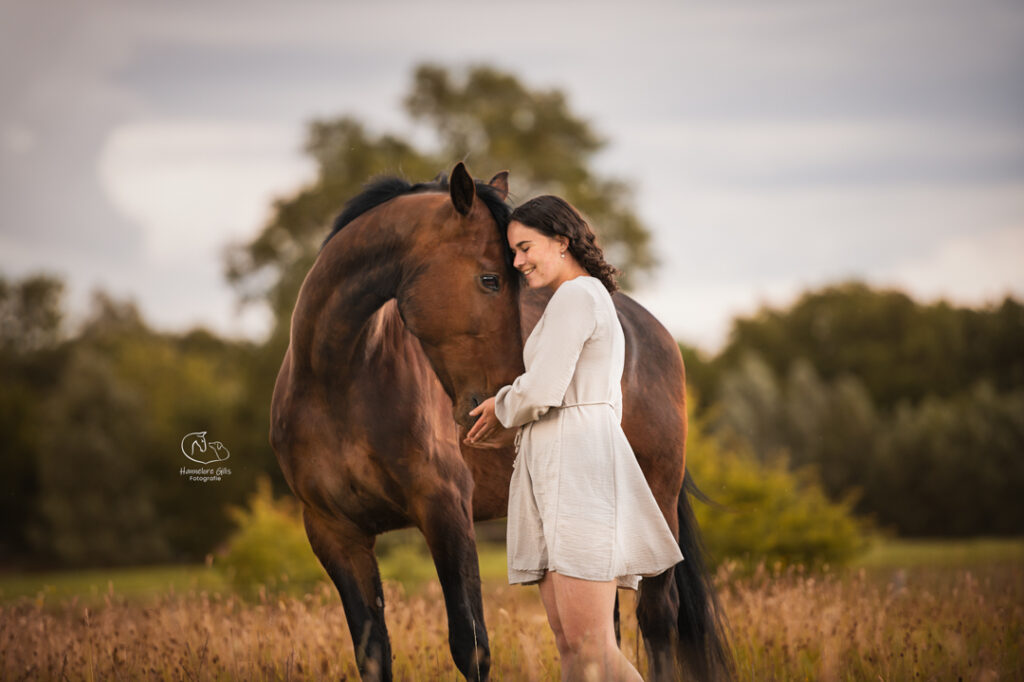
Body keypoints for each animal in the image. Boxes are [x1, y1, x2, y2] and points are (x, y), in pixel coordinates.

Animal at [270, 163, 732, 681]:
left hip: (658, 498)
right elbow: (373, 653)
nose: (507, 397)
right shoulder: (335, 534)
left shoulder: (446, 511)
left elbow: (470, 645)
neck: (338, 380)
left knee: (657, 620)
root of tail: (652, 329)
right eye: (491, 279)